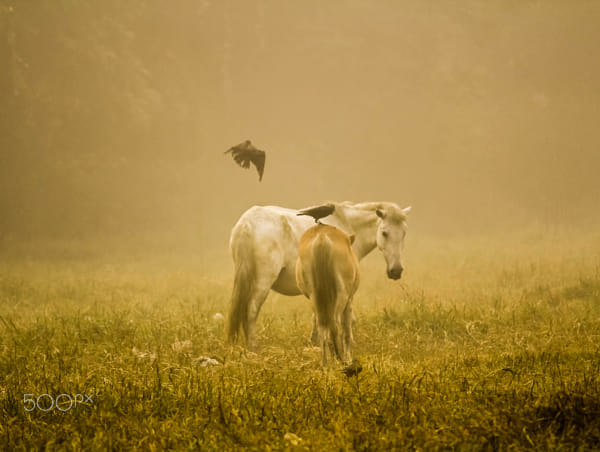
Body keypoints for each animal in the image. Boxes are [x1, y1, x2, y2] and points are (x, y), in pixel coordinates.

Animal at [227, 200, 410, 346]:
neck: (346, 225)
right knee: (251, 311)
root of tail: (247, 223)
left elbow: (318, 314)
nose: (396, 271)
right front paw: (347, 341)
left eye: (404, 233)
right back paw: (253, 346)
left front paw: (315, 341)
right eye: (384, 233)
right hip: (263, 283)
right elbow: (346, 316)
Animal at [296, 224, 360, 366]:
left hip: (314, 295)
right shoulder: (349, 301)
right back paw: (341, 359)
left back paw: (325, 363)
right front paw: (348, 357)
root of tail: (322, 236)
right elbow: (347, 331)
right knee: (334, 324)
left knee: (322, 326)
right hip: (342, 295)